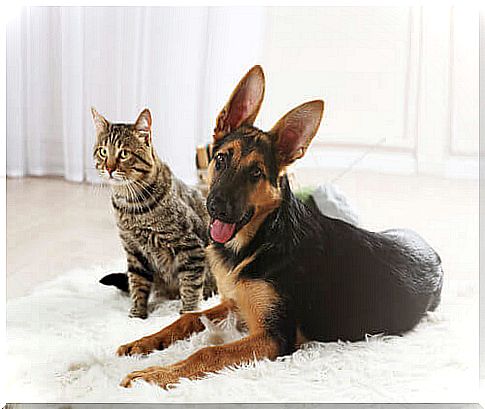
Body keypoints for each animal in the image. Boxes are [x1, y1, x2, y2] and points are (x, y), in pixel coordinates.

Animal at [91, 107, 216, 318]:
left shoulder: (191, 246)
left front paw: (188, 312)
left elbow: (190, 284)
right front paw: (137, 315)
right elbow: (137, 283)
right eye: (103, 151)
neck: (131, 205)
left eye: (124, 154)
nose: (109, 168)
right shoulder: (133, 250)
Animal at [117, 65, 442, 388]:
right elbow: (186, 317)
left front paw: (154, 375)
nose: (216, 207)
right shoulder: (234, 303)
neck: (260, 239)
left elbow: (208, 352)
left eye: (256, 173)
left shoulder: (275, 337)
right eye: (221, 159)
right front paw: (143, 343)